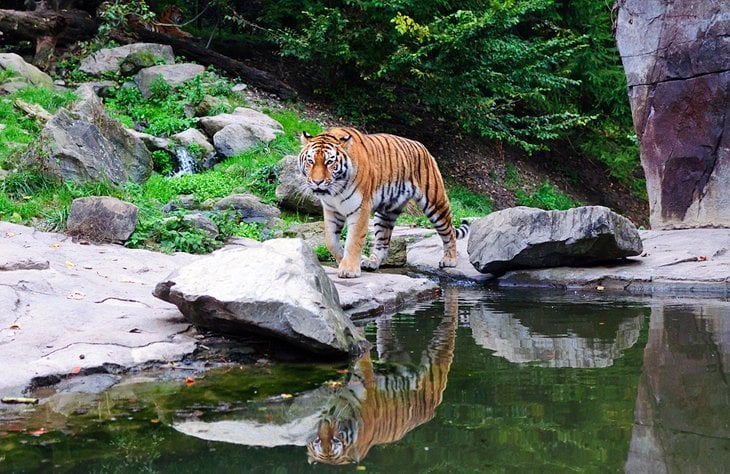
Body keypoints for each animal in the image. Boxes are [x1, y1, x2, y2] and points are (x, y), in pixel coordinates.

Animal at [298, 128, 470, 280]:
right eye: (310, 161)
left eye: (329, 162)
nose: (317, 182)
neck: (335, 191)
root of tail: (423, 147)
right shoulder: (331, 210)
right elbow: (331, 242)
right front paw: (346, 261)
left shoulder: (360, 209)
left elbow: (353, 240)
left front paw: (349, 269)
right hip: (386, 212)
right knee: (383, 243)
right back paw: (371, 262)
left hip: (435, 202)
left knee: (449, 231)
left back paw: (449, 259)